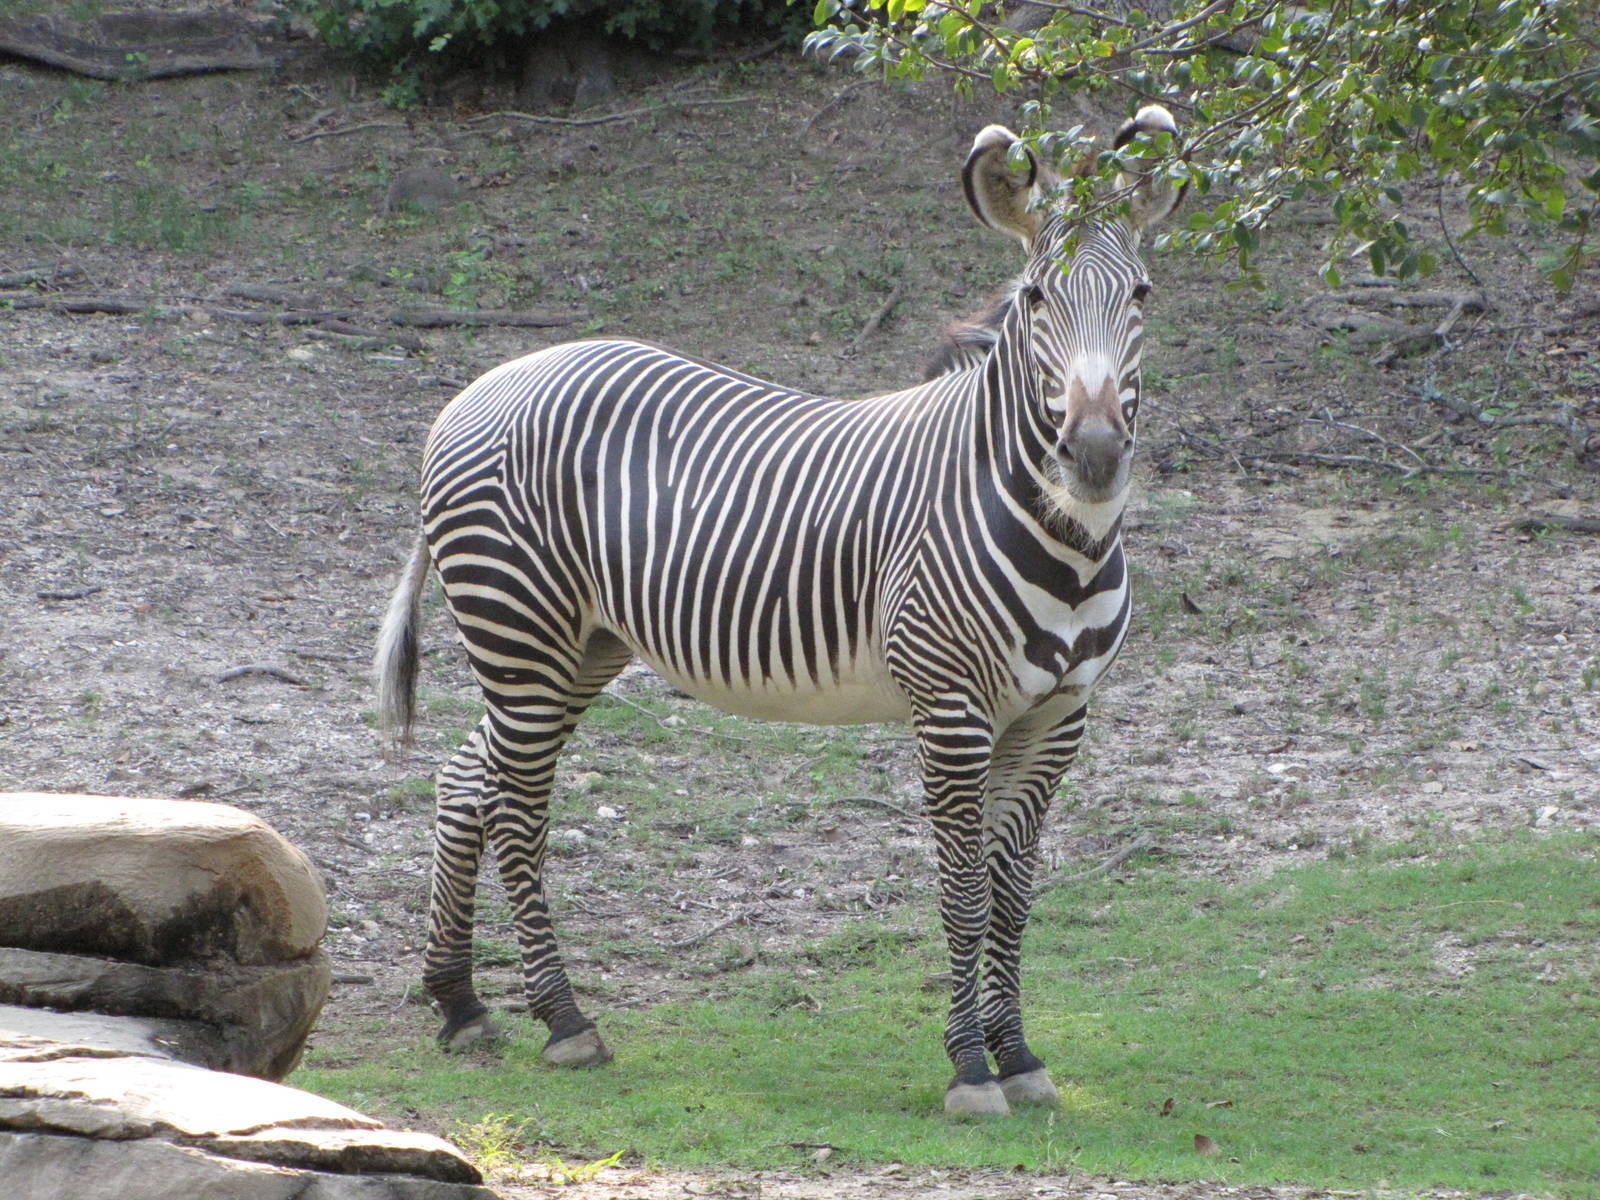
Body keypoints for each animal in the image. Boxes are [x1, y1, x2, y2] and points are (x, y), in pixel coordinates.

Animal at [375, 106, 1184, 1118]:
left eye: (1142, 293)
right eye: (1037, 298)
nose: (1096, 454)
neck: (1061, 541)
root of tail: (481, 386)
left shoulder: (1056, 718)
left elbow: (1011, 894)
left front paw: (1020, 1055)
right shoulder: (951, 710)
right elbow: (963, 890)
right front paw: (968, 1068)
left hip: (575, 649)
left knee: (464, 780)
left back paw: (458, 1000)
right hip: (520, 629)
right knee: (517, 809)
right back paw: (563, 1020)